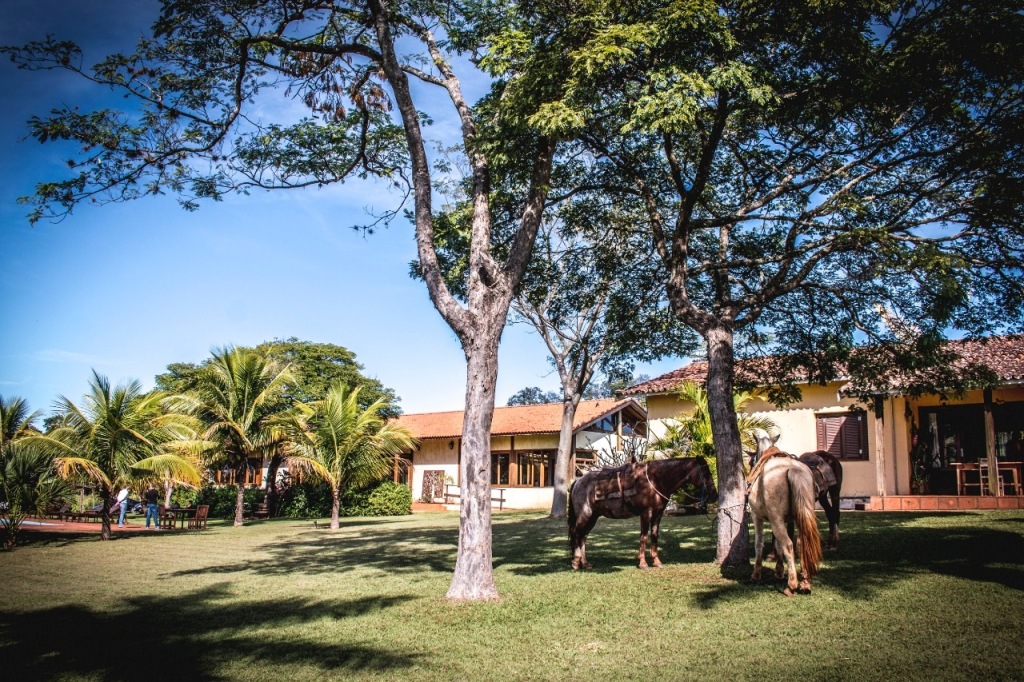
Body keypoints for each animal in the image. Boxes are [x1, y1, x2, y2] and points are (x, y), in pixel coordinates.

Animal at [568, 457, 717, 570]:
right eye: (705, 472)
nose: (714, 495)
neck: (655, 480)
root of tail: (578, 481)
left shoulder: (658, 515)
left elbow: (655, 537)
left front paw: (657, 562)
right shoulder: (646, 513)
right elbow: (643, 537)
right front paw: (643, 563)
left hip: (593, 517)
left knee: (583, 537)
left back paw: (585, 563)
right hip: (585, 514)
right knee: (576, 533)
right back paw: (575, 562)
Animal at [747, 431, 823, 595]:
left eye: (751, 462)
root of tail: (793, 469)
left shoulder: (758, 517)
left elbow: (760, 543)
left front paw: (756, 573)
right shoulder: (786, 519)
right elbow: (778, 544)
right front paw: (779, 570)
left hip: (775, 519)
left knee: (788, 544)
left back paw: (792, 585)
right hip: (800, 516)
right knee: (801, 543)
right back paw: (805, 583)